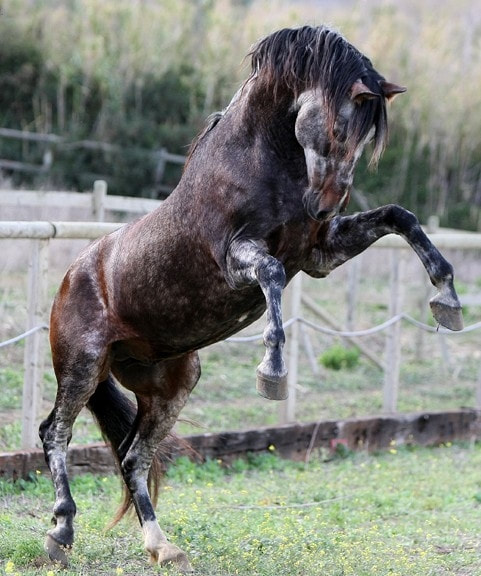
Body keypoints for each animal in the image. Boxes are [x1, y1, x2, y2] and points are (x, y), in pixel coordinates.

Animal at [38, 25, 462, 572]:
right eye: (336, 128)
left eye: (367, 137)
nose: (325, 205)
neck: (261, 166)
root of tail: (70, 278)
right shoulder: (238, 261)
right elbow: (273, 272)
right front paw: (272, 372)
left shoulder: (321, 252)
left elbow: (400, 217)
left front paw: (447, 300)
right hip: (83, 365)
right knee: (56, 433)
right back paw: (61, 531)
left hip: (171, 382)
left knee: (133, 456)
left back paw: (163, 547)